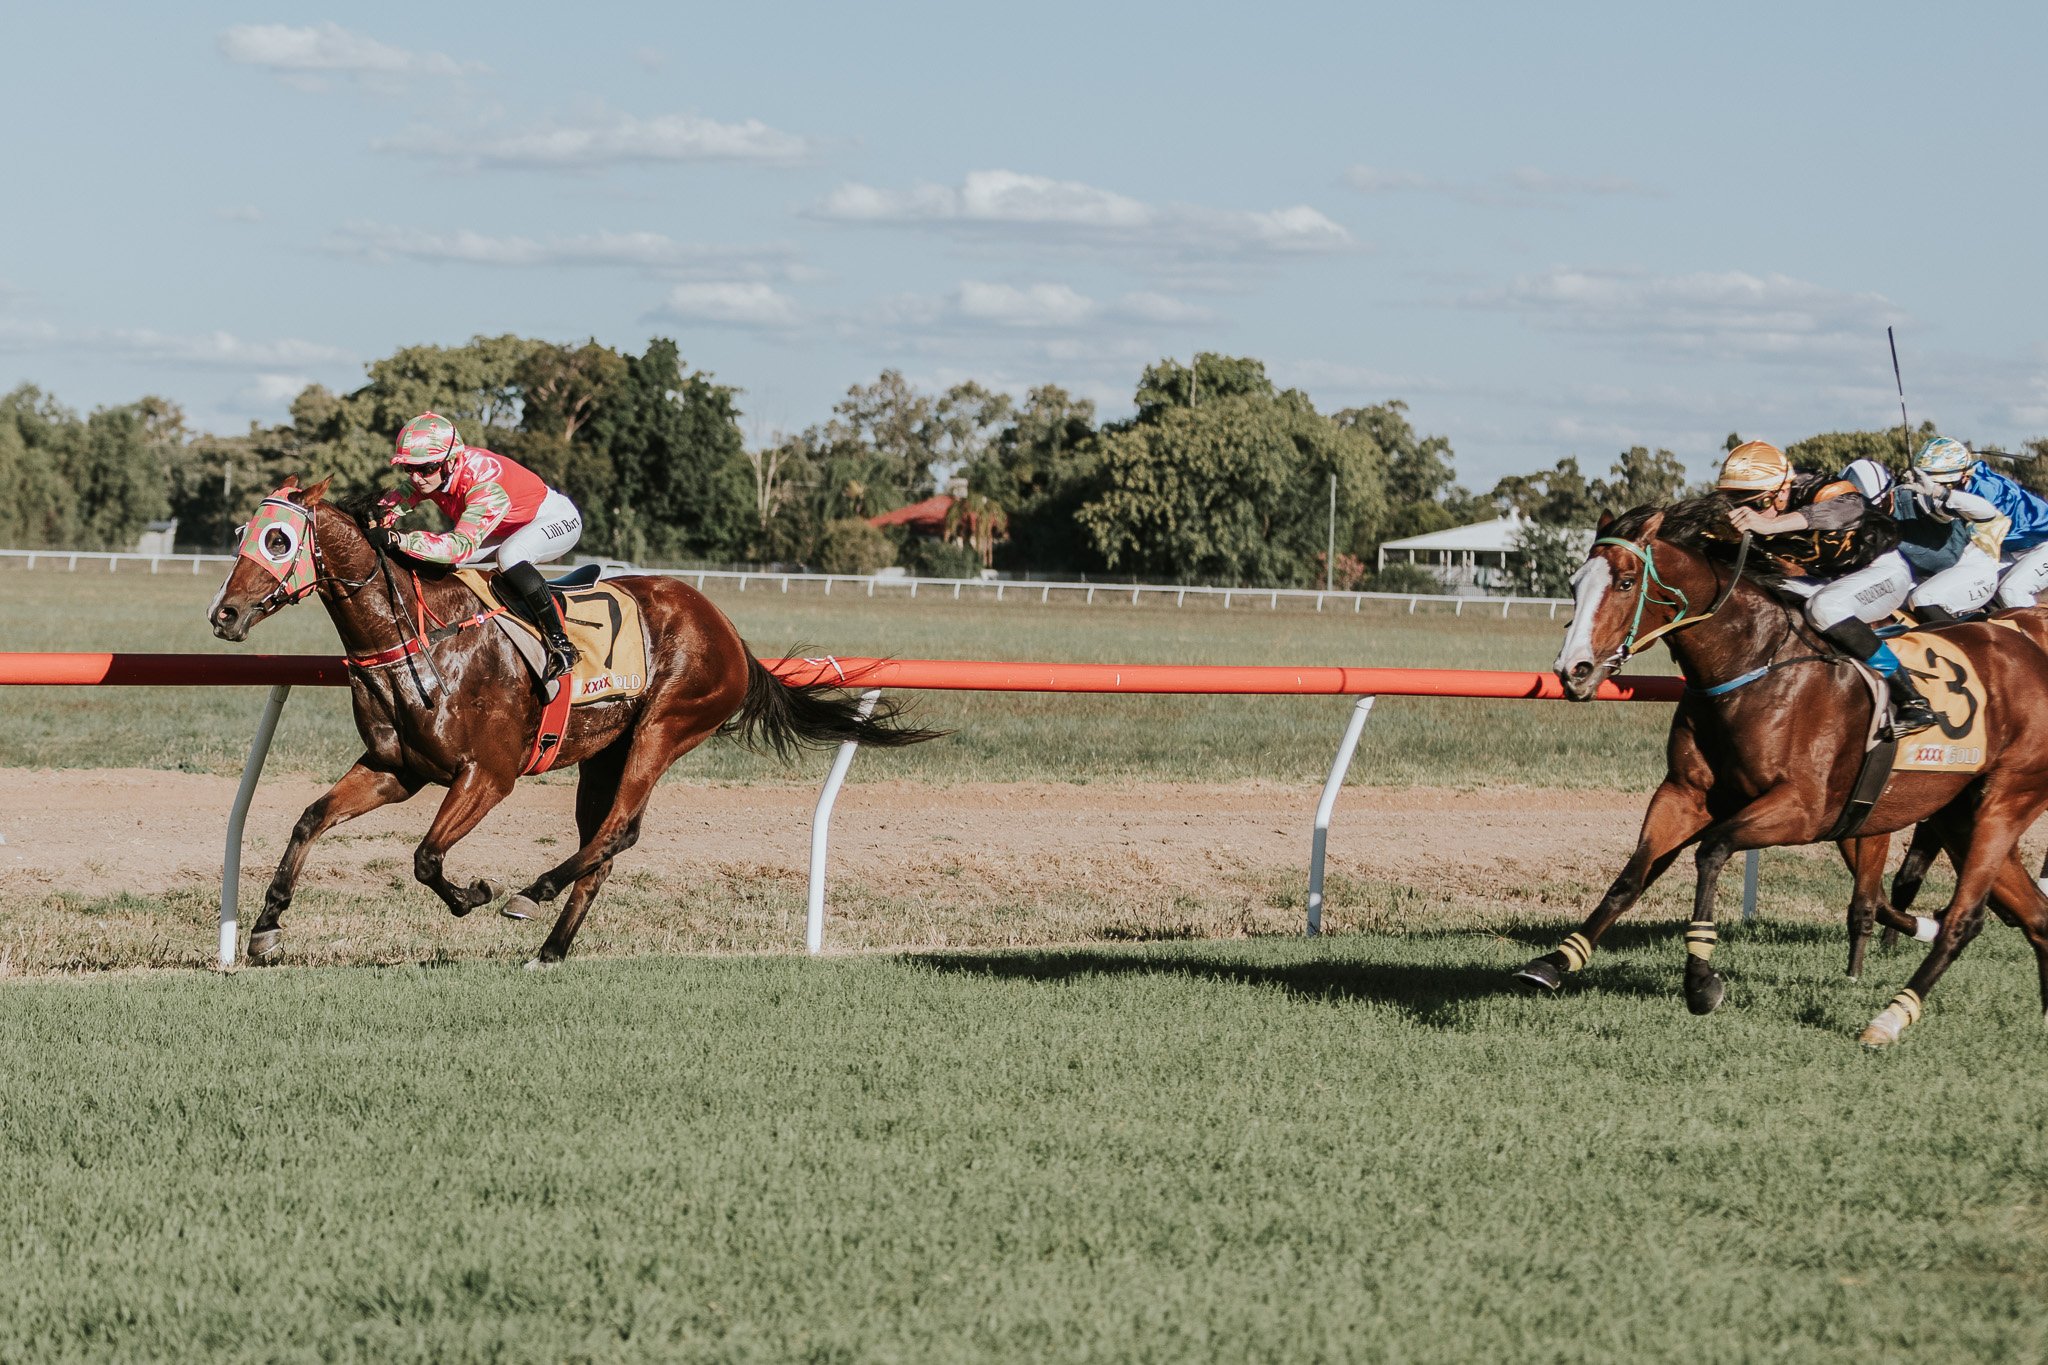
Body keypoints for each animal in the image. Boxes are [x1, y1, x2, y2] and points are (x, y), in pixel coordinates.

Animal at [203, 474, 937, 965]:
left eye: (278, 538)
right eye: (239, 535)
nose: (224, 613)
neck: (419, 634)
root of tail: (729, 633)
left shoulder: (488, 774)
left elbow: (427, 856)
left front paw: (472, 894)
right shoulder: (396, 769)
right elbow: (309, 819)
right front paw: (266, 925)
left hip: (663, 729)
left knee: (620, 830)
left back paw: (535, 891)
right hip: (604, 755)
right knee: (604, 846)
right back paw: (552, 947)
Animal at [1515, 446, 2048, 1047]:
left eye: (1626, 583)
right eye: (1576, 581)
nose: (1573, 671)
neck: (1754, 664)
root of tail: (2026, 640)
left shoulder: (1806, 809)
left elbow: (1712, 850)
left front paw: (1701, 980)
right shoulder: (1684, 793)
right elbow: (1632, 875)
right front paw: (1555, 961)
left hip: (2007, 801)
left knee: (1965, 918)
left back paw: (1888, 1018)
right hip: (1959, 814)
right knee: (2035, 915)